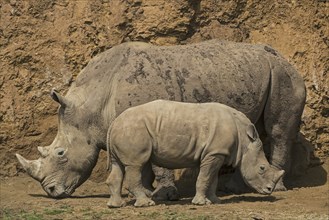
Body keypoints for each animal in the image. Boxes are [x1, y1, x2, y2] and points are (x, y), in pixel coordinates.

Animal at [106, 100, 284, 207]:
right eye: (262, 168)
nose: (269, 190)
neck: (244, 139)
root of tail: (114, 122)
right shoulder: (214, 153)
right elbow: (204, 178)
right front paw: (200, 203)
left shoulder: (214, 153)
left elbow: (212, 179)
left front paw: (215, 201)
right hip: (133, 130)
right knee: (135, 165)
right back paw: (146, 204)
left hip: (124, 130)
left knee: (118, 165)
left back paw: (116, 205)